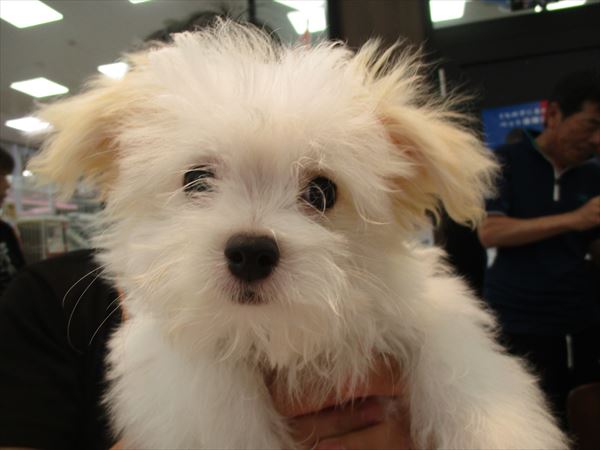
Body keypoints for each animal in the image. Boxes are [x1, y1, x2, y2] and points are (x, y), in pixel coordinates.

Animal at [30, 20, 568, 449]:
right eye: (196, 179)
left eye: (322, 192)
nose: (250, 251)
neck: (277, 335)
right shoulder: (181, 375)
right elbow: (216, 406)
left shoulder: (426, 310)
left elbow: (459, 366)